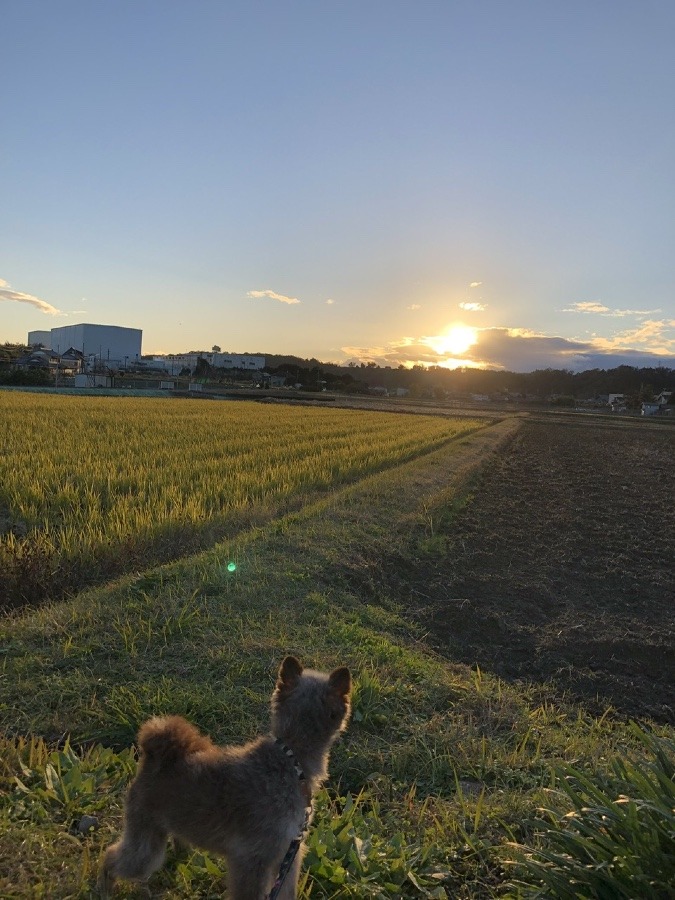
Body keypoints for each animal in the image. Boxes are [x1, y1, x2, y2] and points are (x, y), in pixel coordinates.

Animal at [100, 652, 354, 900]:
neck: (290, 759)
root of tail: (155, 755)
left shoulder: (288, 854)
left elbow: (286, 892)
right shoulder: (252, 860)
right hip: (145, 847)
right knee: (110, 858)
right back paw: (104, 889)